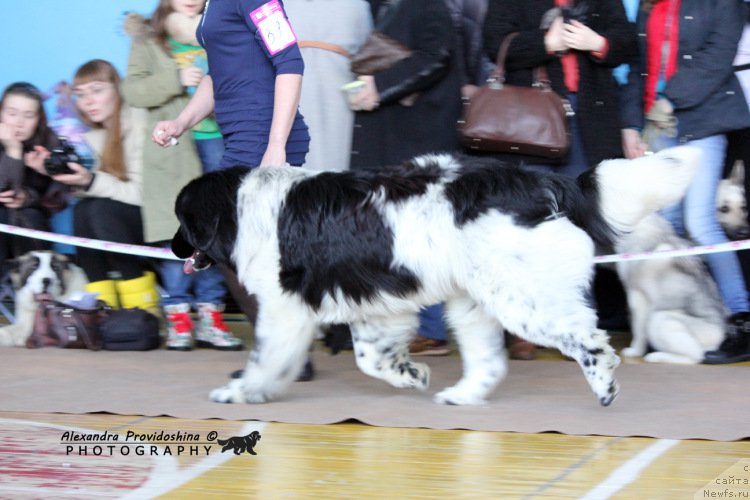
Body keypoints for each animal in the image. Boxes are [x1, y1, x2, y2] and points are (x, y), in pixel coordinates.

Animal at [173, 146, 704, 408]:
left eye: (183, 221)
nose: (171, 246)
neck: (242, 207)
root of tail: (540, 181)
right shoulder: (375, 303)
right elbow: (372, 358)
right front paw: (411, 374)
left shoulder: (286, 310)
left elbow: (265, 360)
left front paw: (242, 392)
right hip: (475, 299)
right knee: (489, 363)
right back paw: (462, 397)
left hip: (522, 296)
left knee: (588, 340)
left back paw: (605, 384)